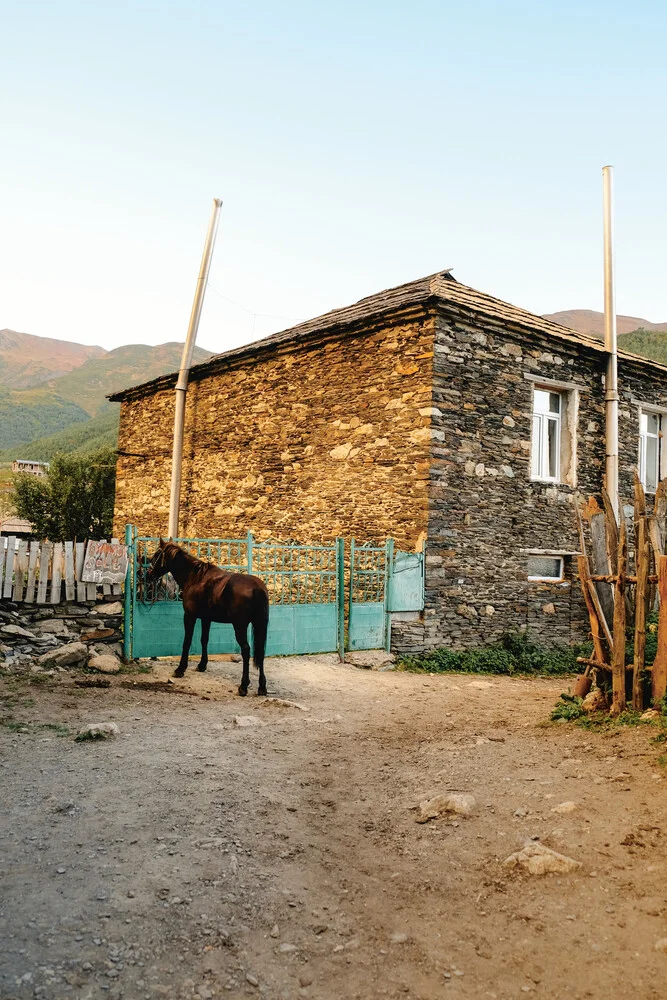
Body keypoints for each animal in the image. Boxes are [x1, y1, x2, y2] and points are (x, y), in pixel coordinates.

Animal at [147, 540, 270, 696]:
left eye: (157, 554)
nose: (149, 574)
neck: (195, 577)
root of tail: (257, 588)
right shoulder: (206, 619)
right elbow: (204, 640)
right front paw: (202, 665)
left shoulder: (190, 616)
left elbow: (187, 641)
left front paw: (180, 669)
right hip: (259, 625)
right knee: (260, 652)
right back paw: (262, 687)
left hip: (240, 626)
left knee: (246, 650)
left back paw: (243, 686)